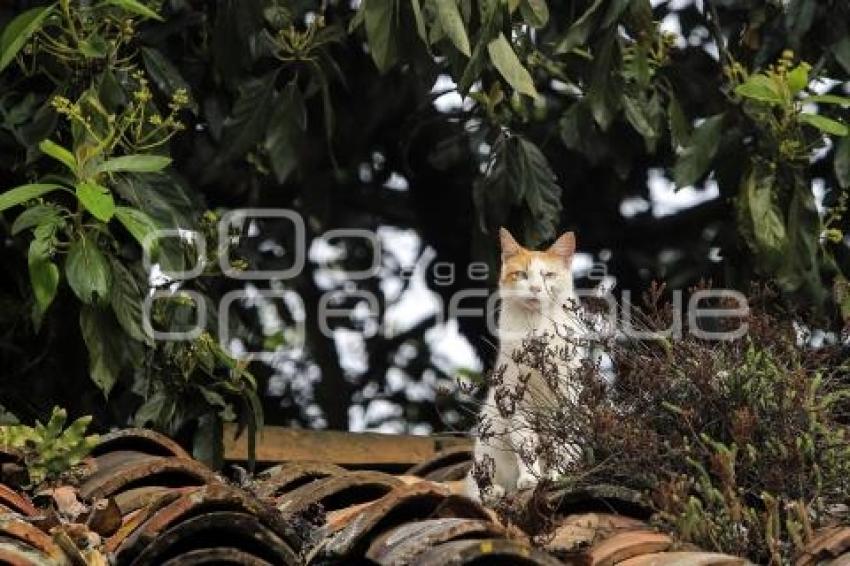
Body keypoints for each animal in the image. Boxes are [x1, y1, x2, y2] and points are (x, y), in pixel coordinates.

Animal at [464, 229, 584, 504]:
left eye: (548, 275)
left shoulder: (565, 398)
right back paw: (494, 491)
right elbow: (526, 443)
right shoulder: (518, 401)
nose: (535, 288)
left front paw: (557, 475)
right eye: (521, 275)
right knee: (477, 486)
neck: (535, 327)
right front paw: (530, 479)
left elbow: (560, 444)